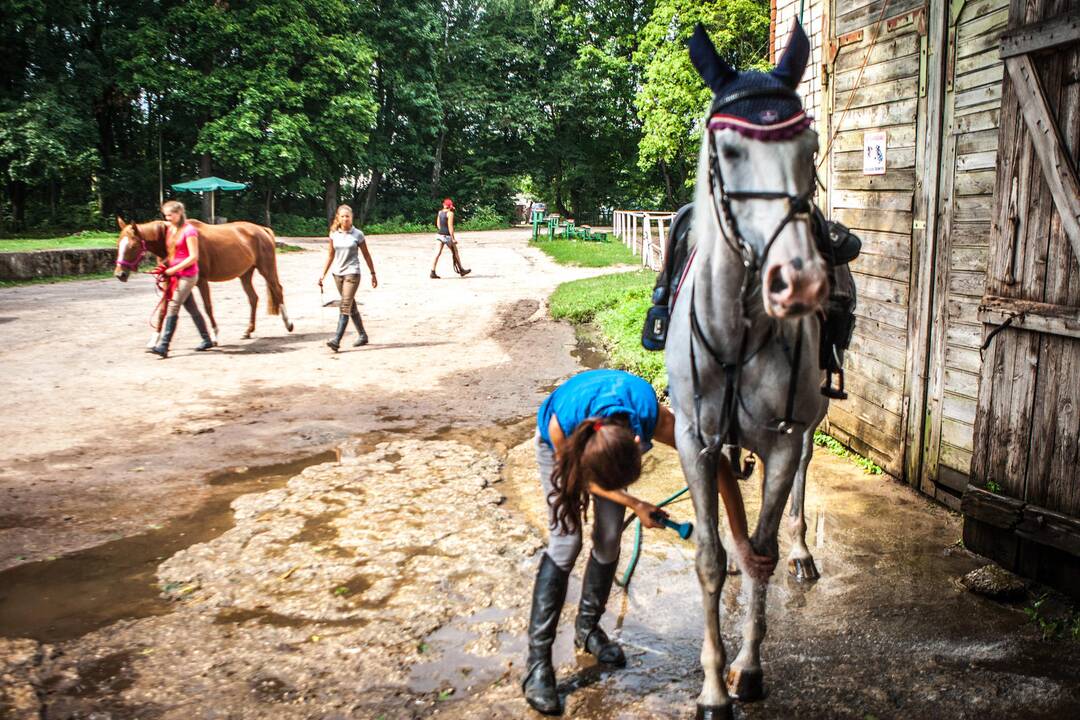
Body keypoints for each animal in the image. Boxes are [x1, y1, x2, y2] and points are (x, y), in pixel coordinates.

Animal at [112, 216, 295, 341]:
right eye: (118, 244)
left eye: (133, 246)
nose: (120, 274)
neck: (175, 239)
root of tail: (262, 229)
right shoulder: (169, 279)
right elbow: (164, 310)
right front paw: (154, 340)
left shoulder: (201, 281)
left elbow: (207, 307)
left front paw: (214, 336)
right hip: (245, 274)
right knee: (253, 298)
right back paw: (248, 331)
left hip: (266, 269)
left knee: (277, 290)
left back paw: (289, 324)